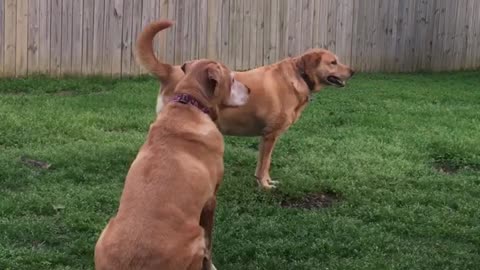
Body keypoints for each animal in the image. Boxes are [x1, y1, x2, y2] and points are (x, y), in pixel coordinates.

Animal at [95, 59, 249, 270]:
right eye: (232, 79)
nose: (250, 90)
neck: (190, 104)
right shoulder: (210, 201)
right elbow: (210, 246)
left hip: (105, 231)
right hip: (196, 237)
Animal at [137, 20, 354, 189]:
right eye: (333, 62)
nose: (352, 71)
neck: (300, 76)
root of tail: (170, 70)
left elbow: (264, 164)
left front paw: (266, 182)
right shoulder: (270, 135)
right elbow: (265, 164)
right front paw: (264, 185)